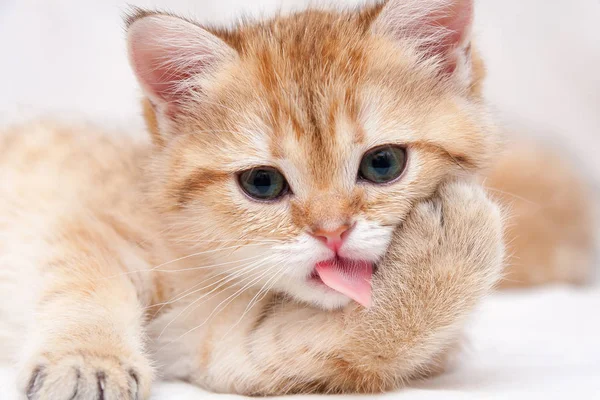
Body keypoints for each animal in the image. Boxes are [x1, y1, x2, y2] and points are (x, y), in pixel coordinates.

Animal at [0, 0, 592, 398]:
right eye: (262, 184)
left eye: (383, 163)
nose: (332, 232)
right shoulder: (91, 223)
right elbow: (85, 284)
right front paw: (85, 361)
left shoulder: (208, 346)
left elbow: (328, 348)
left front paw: (446, 259)